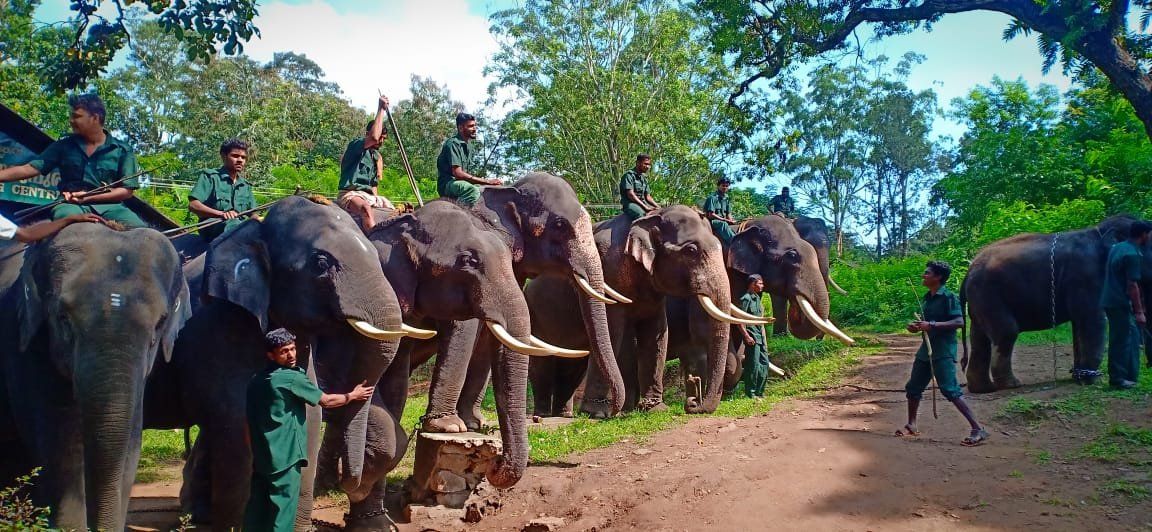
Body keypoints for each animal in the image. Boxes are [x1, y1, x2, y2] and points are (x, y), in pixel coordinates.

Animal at [142, 195, 428, 529]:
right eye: (321, 263)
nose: (349, 485)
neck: (257, 231)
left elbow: (308, 416)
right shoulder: (218, 327)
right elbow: (236, 425)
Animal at [527, 206, 764, 417]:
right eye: (691, 251)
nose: (692, 402)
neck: (650, 217)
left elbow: (657, 333)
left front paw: (654, 409)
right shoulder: (607, 273)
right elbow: (612, 333)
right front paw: (600, 413)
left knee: (572, 366)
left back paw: (563, 415)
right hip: (535, 317)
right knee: (543, 366)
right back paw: (543, 415)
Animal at [960, 215, 1151, 392]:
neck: (1098, 231)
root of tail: (968, 272)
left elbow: (1079, 324)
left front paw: (1079, 378)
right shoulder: (1085, 276)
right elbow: (1092, 320)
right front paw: (1094, 381)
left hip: (980, 301)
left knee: (979, 339)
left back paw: (983, 388)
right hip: (989, 296)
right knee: (1006, 332)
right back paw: (1011, 385)